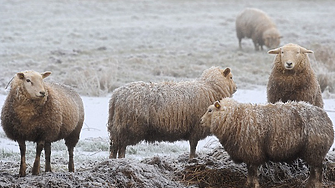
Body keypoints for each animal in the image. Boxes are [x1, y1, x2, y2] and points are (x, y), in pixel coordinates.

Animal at [109, 66, 238, 159]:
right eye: (231, 77)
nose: (236, 88)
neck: (211, 87)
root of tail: (116, 95)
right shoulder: (196, 128)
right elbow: (193, 147)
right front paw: (192, 159)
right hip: (127, 128)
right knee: (121, 147)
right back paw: (122, 160)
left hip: (116, 128)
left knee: (114, 147)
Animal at [201, 98, 334, 188]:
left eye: (210, 110)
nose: (200, 121)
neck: (236, 118)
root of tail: (326, 118)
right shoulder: (249, 153)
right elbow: (250, 171)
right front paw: (248, 183)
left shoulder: (253, 151)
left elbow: (253, 171)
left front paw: (254, 184)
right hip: (313, 152)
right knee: (313, 170)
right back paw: (309, 184)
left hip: (315, 150)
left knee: (318, 170)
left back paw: (317, 185)